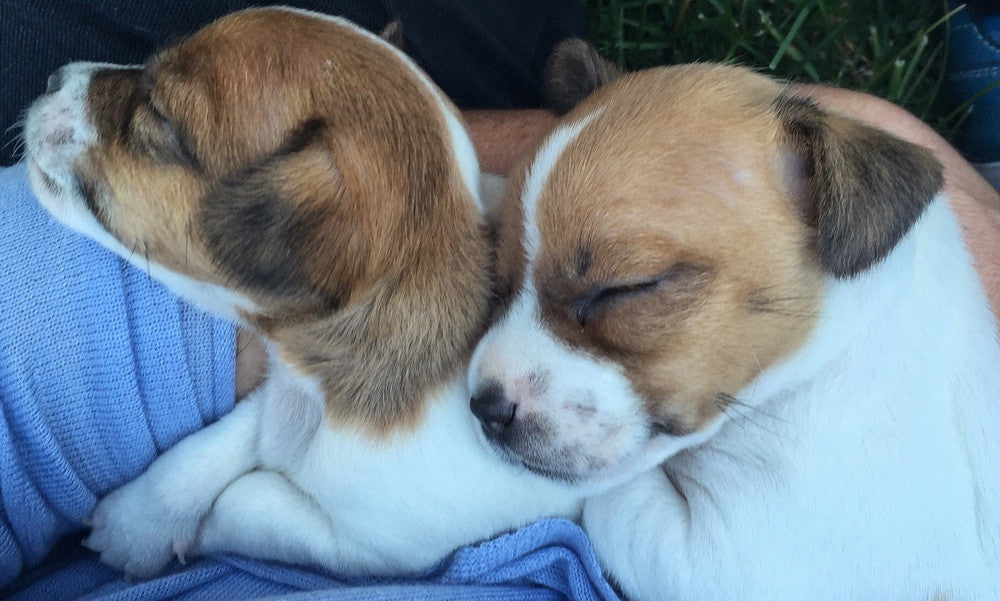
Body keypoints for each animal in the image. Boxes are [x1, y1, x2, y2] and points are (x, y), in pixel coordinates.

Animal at [23, 4, 584, 576]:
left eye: (159, 113)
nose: (52, 78)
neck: (325, 394)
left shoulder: (368, 548)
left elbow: (243, 501)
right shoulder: (284, 385)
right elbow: (223, 441)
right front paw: (137, 521)